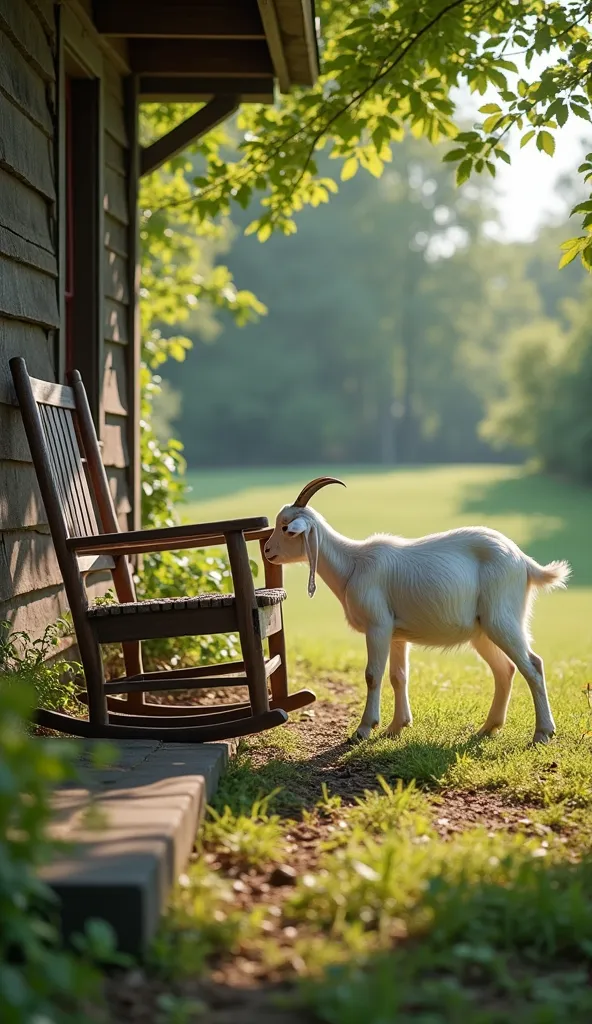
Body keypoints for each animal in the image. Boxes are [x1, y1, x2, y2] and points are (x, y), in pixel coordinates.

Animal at [262, 475, 565, 749]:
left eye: (286, 527)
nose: (266, 551)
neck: (353, 565)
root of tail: (524, 562)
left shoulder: (378, 626)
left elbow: (373, 674)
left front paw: (364, 729)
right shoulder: (397, 634)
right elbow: (398, 676)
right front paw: (396, 727)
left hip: (502, 619)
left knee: (533, 665)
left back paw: (542, 733)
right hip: (482, 631)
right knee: (506, 670)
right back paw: (488, 728)